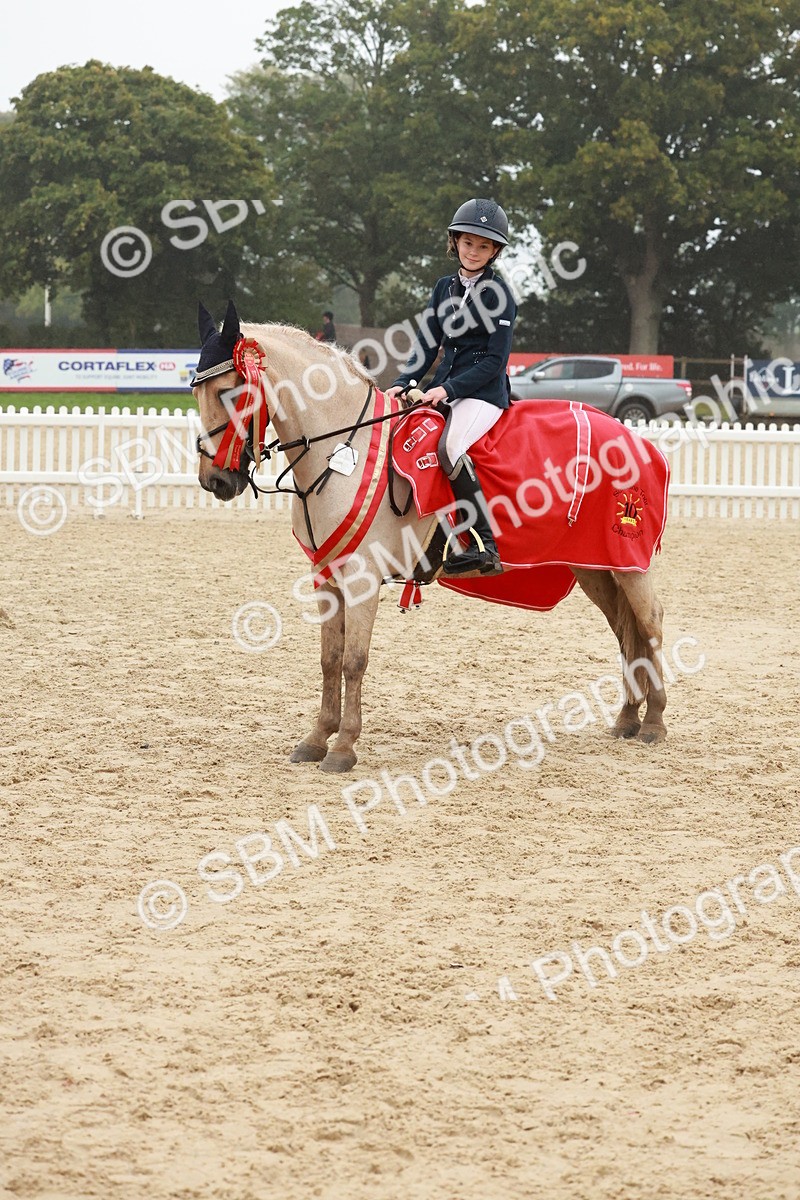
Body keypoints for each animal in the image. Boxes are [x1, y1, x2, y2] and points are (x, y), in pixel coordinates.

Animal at [194, 318, 668, 773]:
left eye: (230, 390)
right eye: (196, 391)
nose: (213, 480)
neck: (343, 449)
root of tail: (639, 440)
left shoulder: (362, 580)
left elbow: (354, 661)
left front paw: (344, 747)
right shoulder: (326, 577)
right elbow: (330, 659)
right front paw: (316, 738)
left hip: (629, 565)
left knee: (649, 626)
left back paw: (654, 722)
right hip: (593, 569)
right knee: (625, 633)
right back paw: (627, 718)